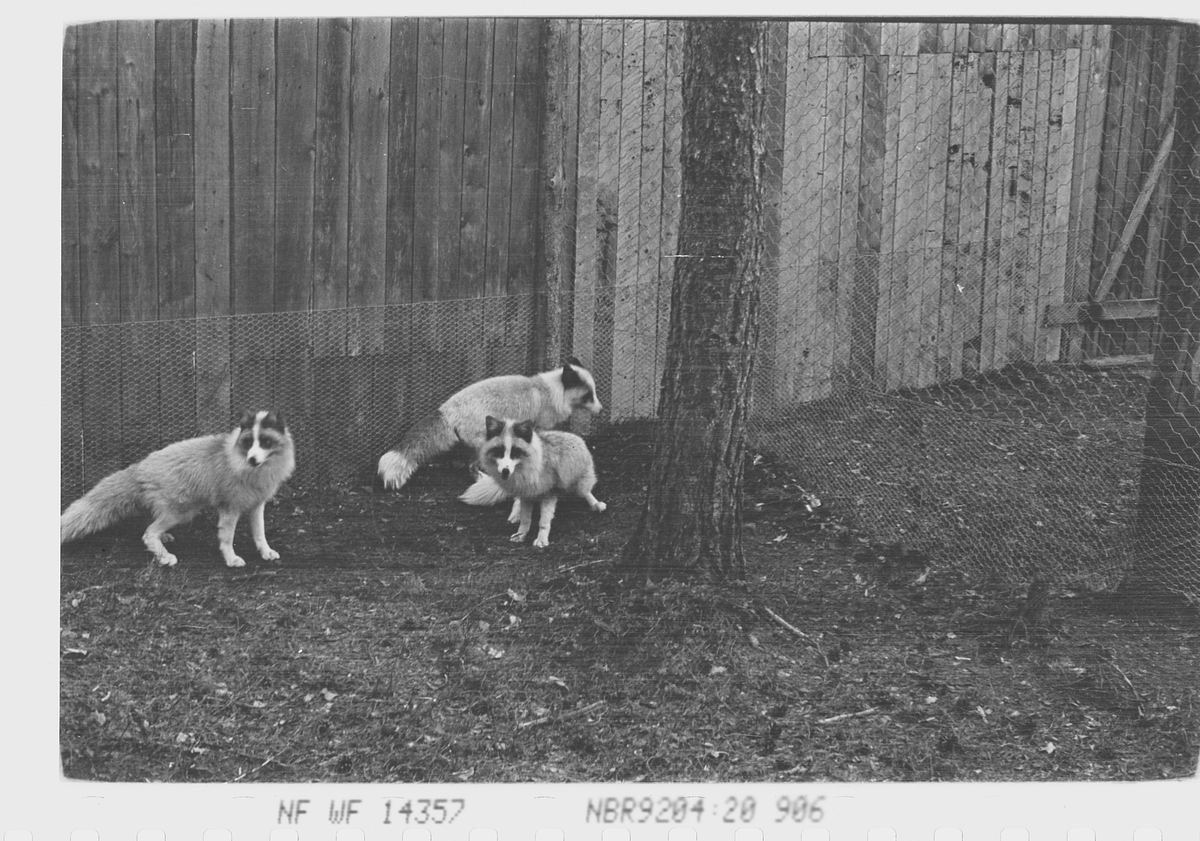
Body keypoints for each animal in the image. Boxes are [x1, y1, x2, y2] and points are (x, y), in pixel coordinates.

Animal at [60, 410, 297, 568]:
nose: (252, 459)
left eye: (265, 441)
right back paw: (164, 557)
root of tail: (140, 466)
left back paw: (163, 540)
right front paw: (231, 559)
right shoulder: (230, 509)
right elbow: (227, 538)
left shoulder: (257, 505)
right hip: (182, 511)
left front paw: (266, 552)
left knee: (152, 526)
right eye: (249, 442)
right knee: (148, 533)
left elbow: (260, 534)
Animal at [376, 355, 600, 489]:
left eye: (594, 393)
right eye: (588, 396)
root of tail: (447, 409)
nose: (601, 409)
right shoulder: (540, 427)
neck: (551, 392)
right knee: (472, 467)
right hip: (483, 442)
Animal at [458, 417, 609, 547]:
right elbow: (525, 520)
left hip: (580, 482)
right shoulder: (526, 495)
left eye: (515, 452)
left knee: (586, 492)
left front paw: (541, 540)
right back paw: (515, 515)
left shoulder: (548, 494)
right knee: (516, 501)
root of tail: (575, 436)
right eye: (499, 452)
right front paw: (521, 534)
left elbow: (543, 522)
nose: (505, 471)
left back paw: (596, 504)